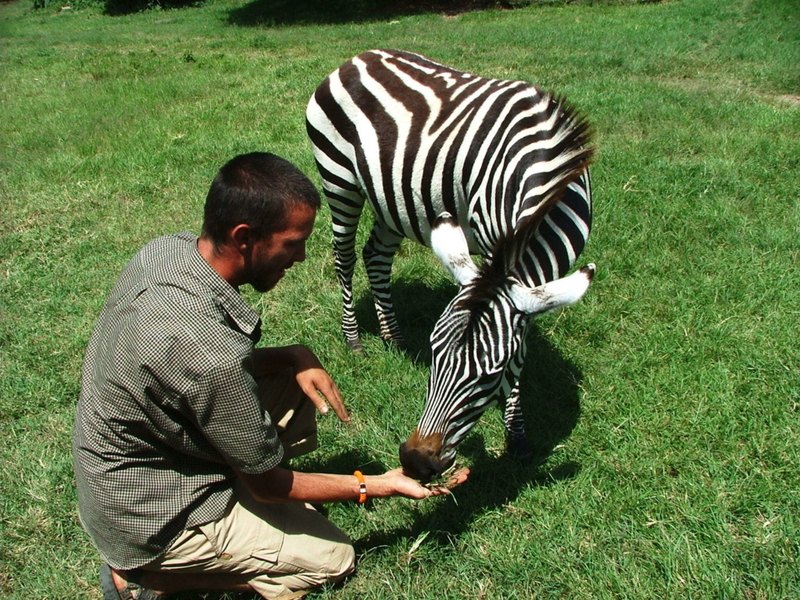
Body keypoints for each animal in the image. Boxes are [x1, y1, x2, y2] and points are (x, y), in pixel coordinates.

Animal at [306, 50, 592, 482]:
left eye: (491, 374)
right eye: (435, 356)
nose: (415, 462)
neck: (546, 173)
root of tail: (358, 57)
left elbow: (522, 339)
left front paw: (517, 435)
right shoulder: (494, 247)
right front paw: (517, 435)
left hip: (391, 199)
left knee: (376, 254)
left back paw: (394, 337)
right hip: (339, 178)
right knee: (345, 255)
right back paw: (354, 339)